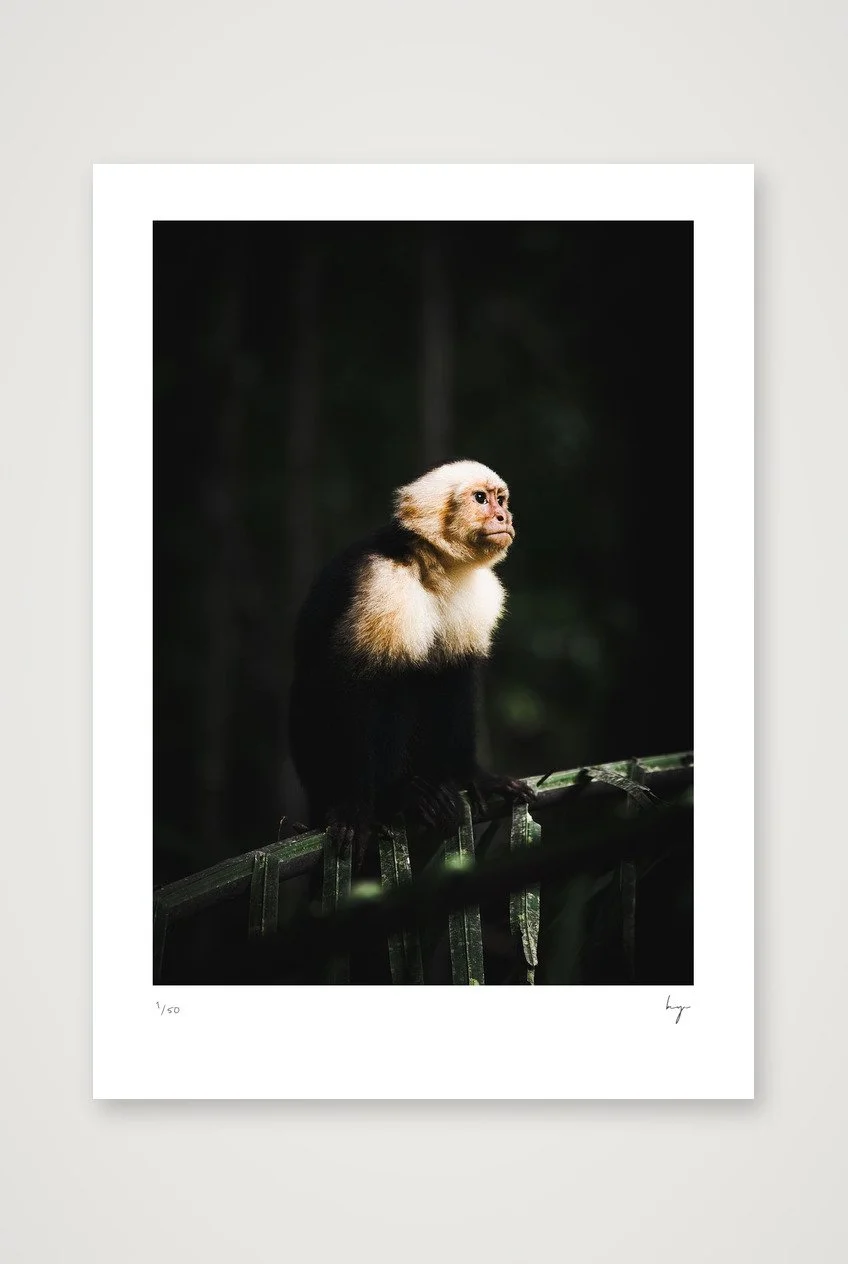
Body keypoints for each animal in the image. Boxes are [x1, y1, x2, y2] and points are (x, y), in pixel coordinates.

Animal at [288, 460, 534, 863]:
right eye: (480, 499)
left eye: (501, 499)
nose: (504, 516)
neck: (433, 565)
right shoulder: (383, 582)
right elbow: (361, 685)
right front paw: (359, 806)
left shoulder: (476, 590)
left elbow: (457, 677)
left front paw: (473, 775)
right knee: (393, 684)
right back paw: (400, 795)